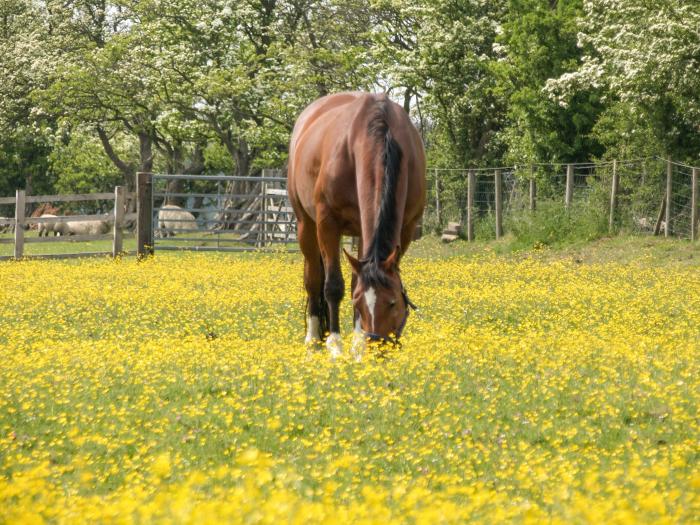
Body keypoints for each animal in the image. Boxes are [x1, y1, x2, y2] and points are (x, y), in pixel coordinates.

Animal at [286, 92, 426, 358]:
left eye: (393, 302)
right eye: (359, 303)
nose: (378, 348)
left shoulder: (405, 228)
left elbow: (355, 283)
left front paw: (358, 346)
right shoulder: (327, 224)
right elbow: (333, 286)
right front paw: (335, 346)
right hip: (305, 227)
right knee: (313, 280)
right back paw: (313, 340)